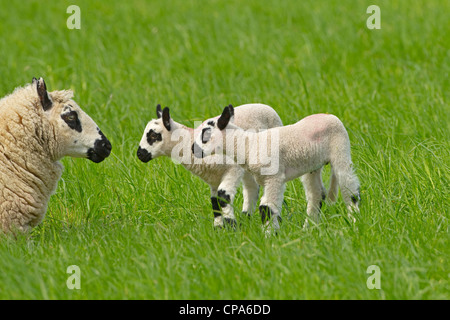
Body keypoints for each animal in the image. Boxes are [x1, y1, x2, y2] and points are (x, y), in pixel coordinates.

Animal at [136, 104, 282, 226]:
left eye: (154, 135)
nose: (139, 154)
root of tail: (265, 106)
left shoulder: (232, 170)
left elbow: (223, 197)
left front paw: (231, 226)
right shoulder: (214, 179)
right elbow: (215, 202)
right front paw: (219, 228)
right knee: (252, 189)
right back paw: (247, 217)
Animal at [193, 105, 362, 232]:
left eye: (205, 134)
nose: (193, 149)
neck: (247, 145)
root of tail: (329, 115)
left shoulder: (273, 177)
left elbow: (266, 207)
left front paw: (270, 237)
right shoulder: (269, 179)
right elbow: (270, 207)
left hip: (341, 148)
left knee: (349, 188)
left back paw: (354, 221)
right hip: (312, 164)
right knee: (316, 195)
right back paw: (308, 228)